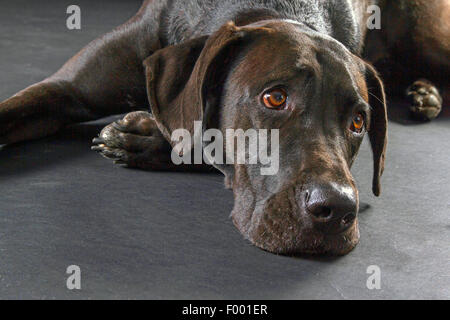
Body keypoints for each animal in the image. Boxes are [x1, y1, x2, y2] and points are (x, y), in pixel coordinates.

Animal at [0, 0, 448, 255]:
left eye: (358, 121)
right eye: (274, 97)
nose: (337, 208)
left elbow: (198, 134)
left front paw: (144, 136)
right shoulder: (65, 89)